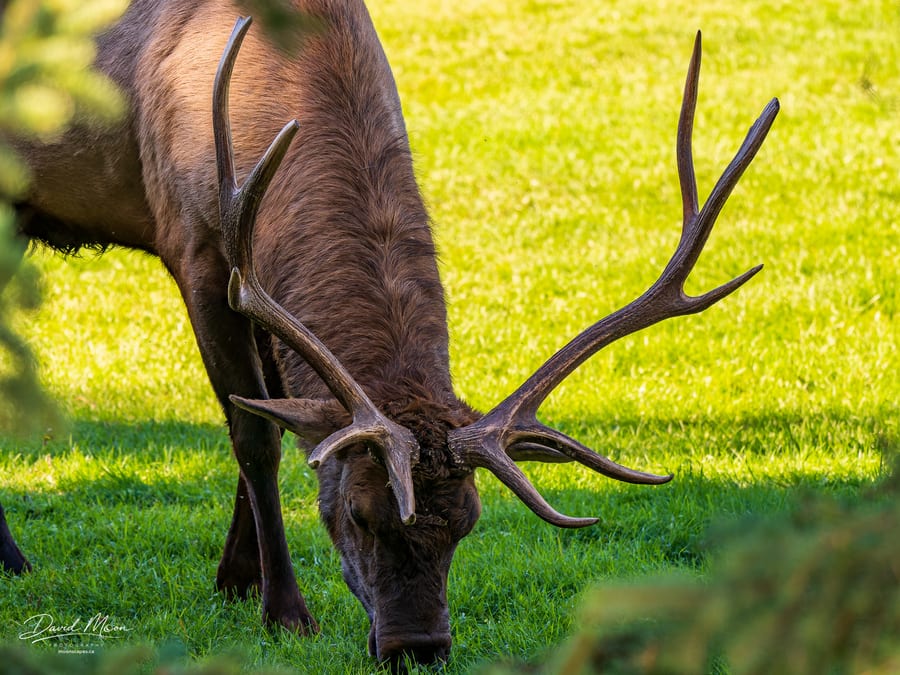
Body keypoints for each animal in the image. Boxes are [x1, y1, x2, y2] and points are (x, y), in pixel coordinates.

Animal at [0, 0, 778, 668]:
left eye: (467, 522)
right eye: (359, 513)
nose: (420, 648)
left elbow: (279, 415)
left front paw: (237, 578)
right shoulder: (194, 245)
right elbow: (253, 435)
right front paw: (285, 610)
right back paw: (14, 558)